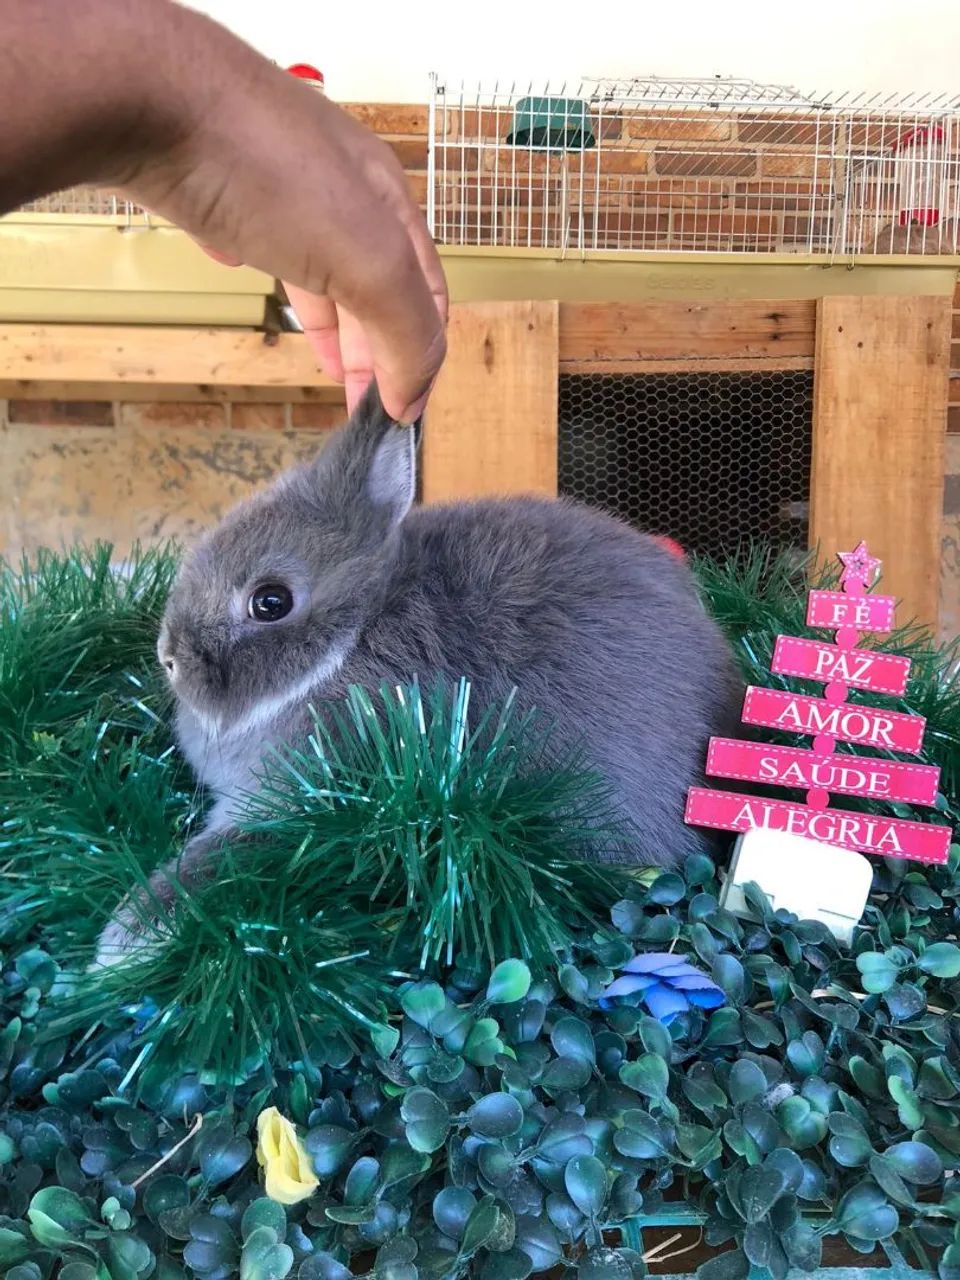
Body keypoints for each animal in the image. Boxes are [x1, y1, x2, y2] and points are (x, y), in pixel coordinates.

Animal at [94, 385, 743, 964]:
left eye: (270, 602)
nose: (168, 655)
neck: (351, 639)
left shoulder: (313, 785)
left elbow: (222, 858)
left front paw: (124, 941)